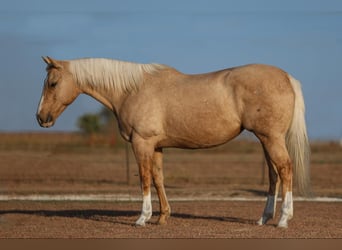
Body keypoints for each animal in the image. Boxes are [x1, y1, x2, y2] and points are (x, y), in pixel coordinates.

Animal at [36, 57, 310, 229]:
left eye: (53, 83)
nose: (41, 118)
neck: (131, 90)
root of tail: (287, 77)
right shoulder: (156, 146)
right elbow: (158, 178)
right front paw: (162, 218)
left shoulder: (142, 143)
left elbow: (144, 178)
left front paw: (142, 218)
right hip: (265, 139)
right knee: (274, 175)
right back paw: (264, 218)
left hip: (271, 138)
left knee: (285, 169)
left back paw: (283, 219)